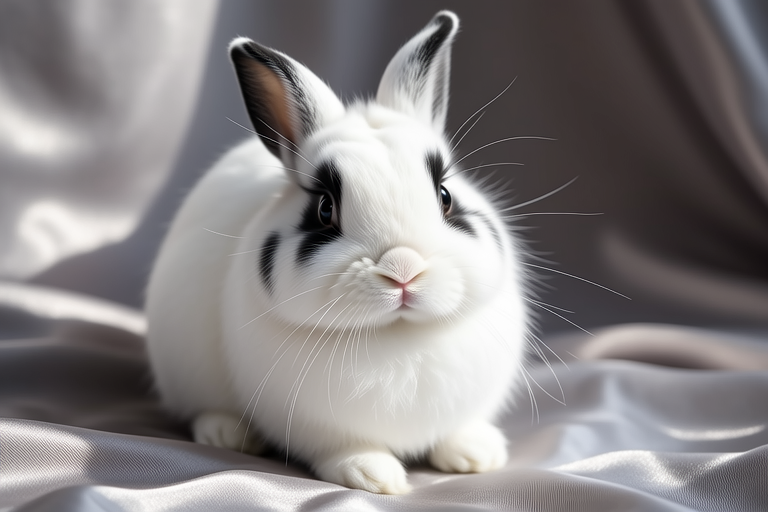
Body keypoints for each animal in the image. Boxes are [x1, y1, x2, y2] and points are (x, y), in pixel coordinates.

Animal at [146, 10, 529, 495]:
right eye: (325, 209)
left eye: (445, 196)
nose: (404, 270)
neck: (397, 336)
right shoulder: (318, 426)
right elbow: (345, 449)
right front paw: (375, 477)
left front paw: (477, 455)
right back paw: (226, 433)